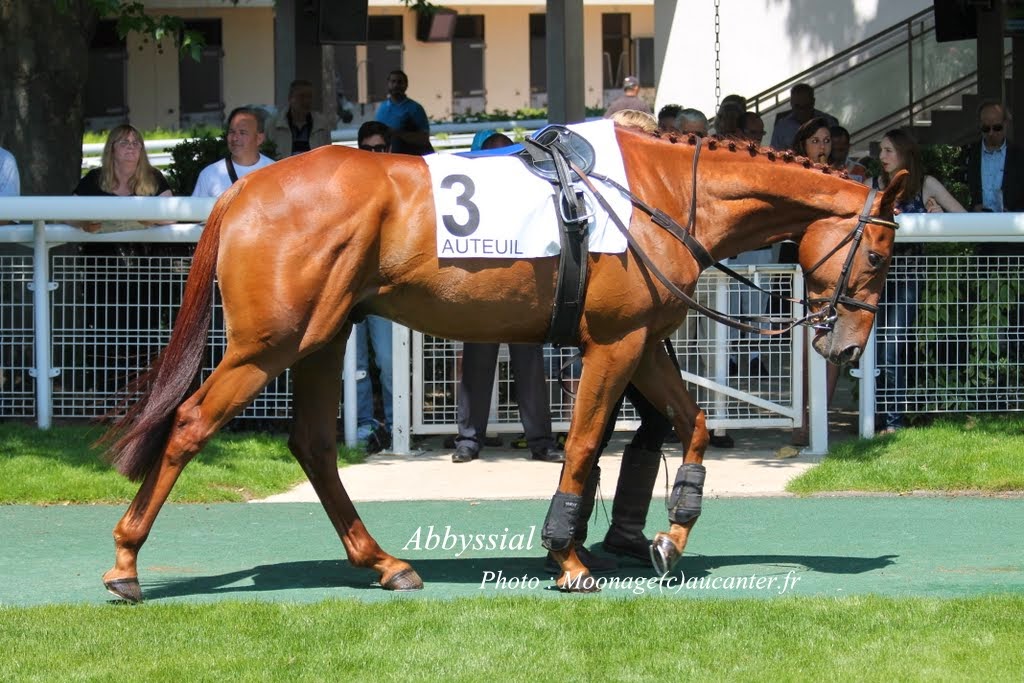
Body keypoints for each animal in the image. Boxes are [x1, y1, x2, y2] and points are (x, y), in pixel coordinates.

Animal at [97, 125, 905, 602]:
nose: (846, 347)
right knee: (190, 425)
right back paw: (127, 563)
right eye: (879, 253)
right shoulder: (615, 342)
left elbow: (694, 424)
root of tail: (244, 187)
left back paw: (384, 562)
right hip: (270, 345)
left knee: (315, 446)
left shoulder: (643, 341)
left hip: (322, 339)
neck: (663, 194)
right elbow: (584, 445)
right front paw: (568, 558)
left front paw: (668, 537)